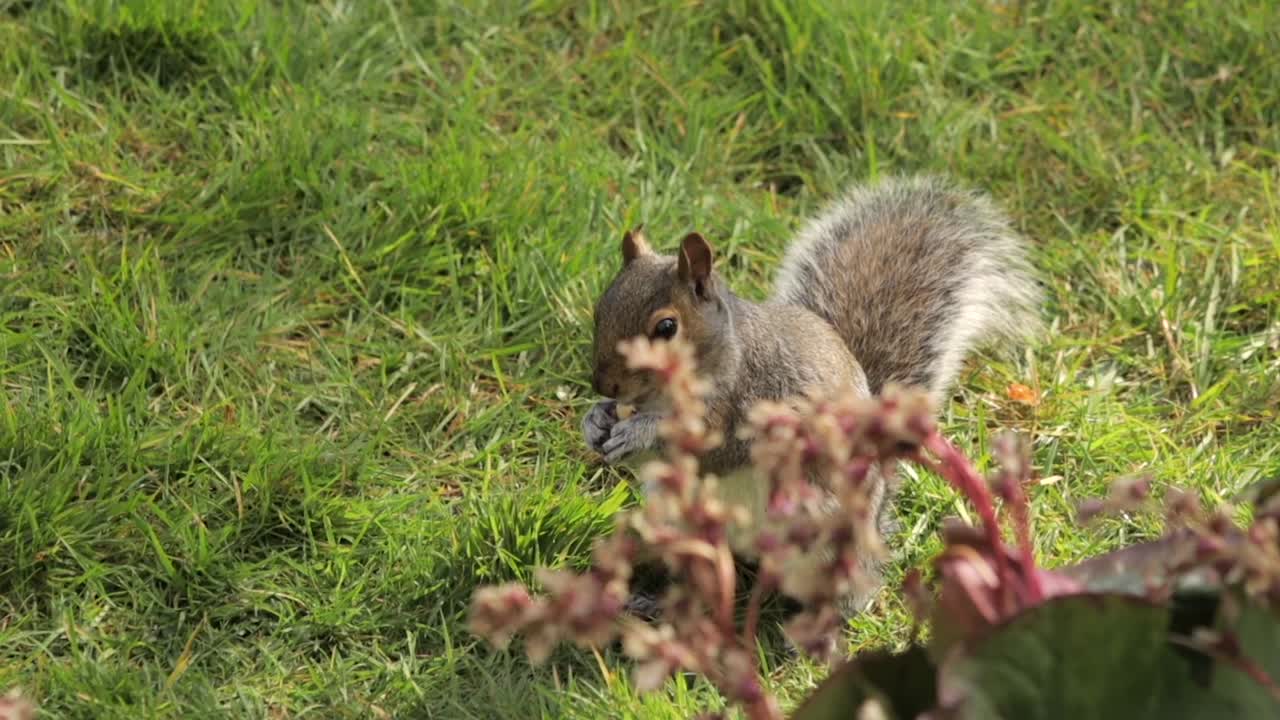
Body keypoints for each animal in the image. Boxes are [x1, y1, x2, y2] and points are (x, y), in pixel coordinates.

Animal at [581, 174, 1042, 615]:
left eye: (666, 327)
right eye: (600, 309)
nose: (604, 385)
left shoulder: (750, 407)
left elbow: (712, 448)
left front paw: (639, 432)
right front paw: (596, 420)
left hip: (828, 541)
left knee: (849, 592)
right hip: (683, 521)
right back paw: (656, 601)